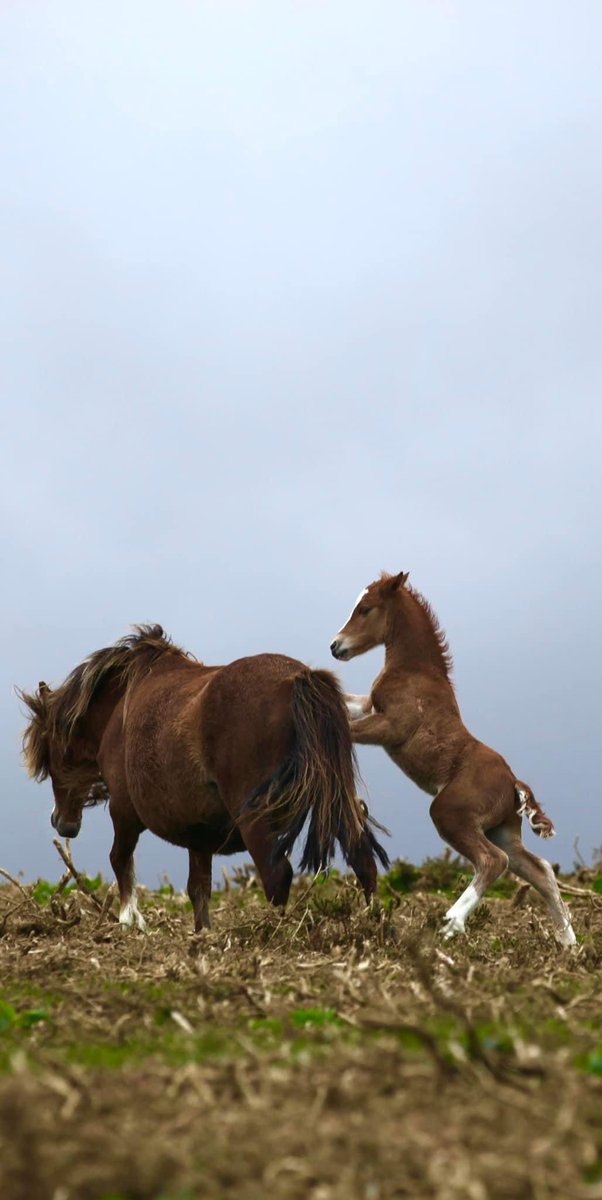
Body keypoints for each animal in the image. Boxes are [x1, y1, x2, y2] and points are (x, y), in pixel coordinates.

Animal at [18, 624, 388, 931]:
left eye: (49, 751)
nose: (62, 823)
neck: (120, 706)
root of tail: (299, 678)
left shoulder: (123, 810)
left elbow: (120, 860)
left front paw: (129, 921)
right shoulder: (199, 834)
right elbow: (198, 889)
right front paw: (202, 933)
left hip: (256, 819)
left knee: (277, 874)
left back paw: (274, 932)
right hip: (337, 801)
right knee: (362, 857)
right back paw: (373, 923)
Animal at [330, 571, 575, 945]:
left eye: (365, 609)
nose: (335, 646)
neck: (415, 670)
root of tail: (513, 781)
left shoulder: (390, 725)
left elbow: (347, 727)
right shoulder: (370, 706)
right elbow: (346, 704)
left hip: (450, 813)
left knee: (493, 861)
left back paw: (451, 922)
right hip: (501, 830)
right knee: (539, 870)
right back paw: (569, 944)